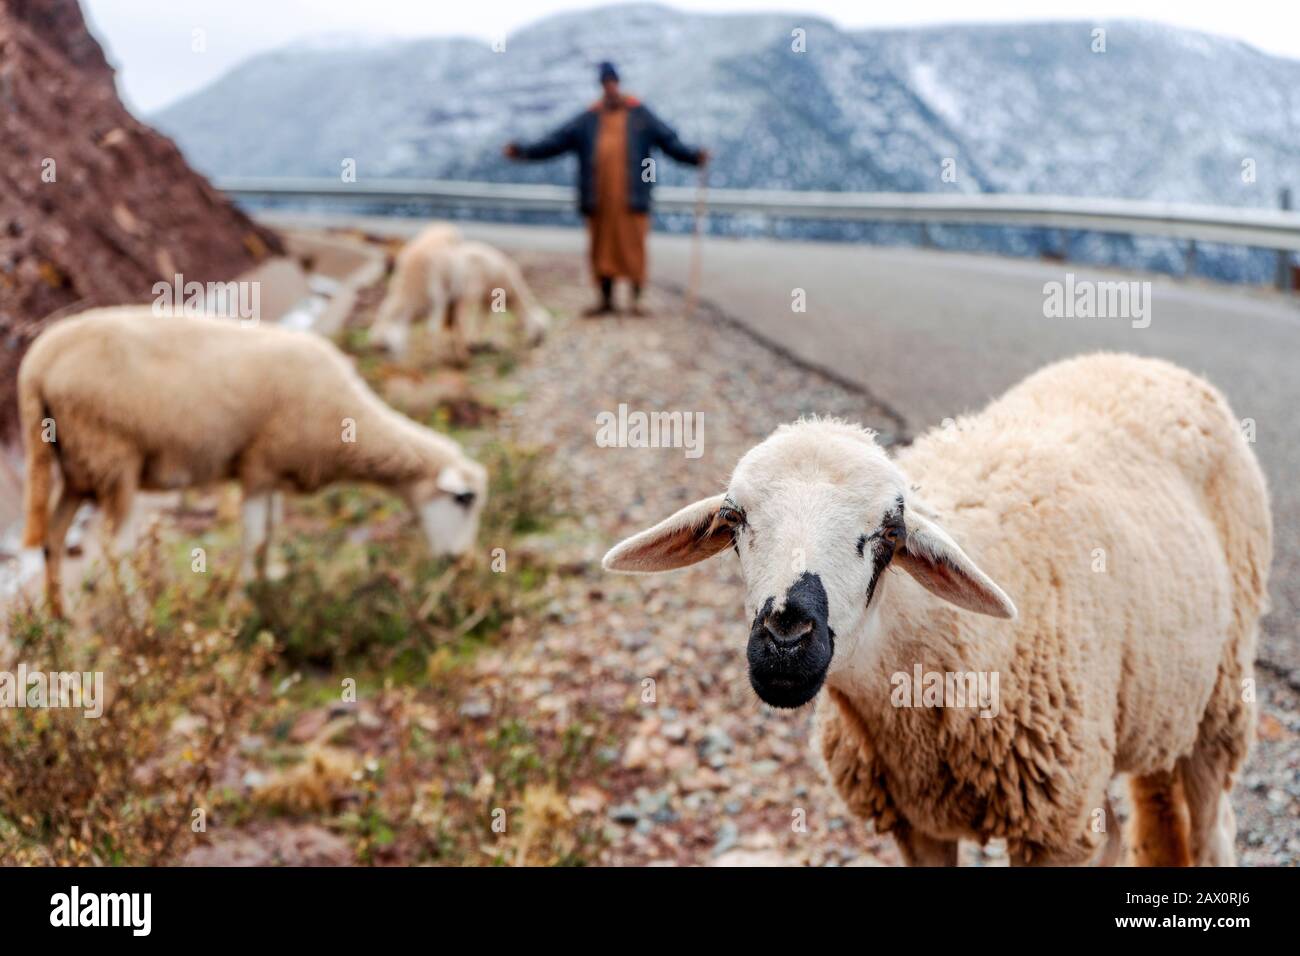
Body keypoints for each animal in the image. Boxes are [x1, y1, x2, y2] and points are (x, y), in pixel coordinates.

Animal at [19, 306, 487, 617]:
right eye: (463, 499)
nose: (460, 563)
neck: (349, 421)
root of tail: (38, 363)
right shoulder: (258, 466)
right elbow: (253, 536)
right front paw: (246, 599)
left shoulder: (275, 471)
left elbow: (271, 531)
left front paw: (269, 580)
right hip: (114, 457)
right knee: (117, 550)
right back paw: (139, 617)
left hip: (77, 465)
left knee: (54, 537)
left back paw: (59, 614)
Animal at [370, 227, 549, 361]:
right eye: (541, 330)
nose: (537, 345)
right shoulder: (493, 295)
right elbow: (494, 320)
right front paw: (495, 343)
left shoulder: (485, 299)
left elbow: (482, 319)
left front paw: (479, 340)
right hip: (467, 292)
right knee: (459, 319)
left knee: (456, 320)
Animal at [603, 353, 1271, 867]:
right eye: (735, 519)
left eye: (889, 531)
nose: (785, 638)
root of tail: (1148, 363)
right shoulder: (918, 822)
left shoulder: (1049, 825)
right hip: (1152, 703)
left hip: (1218, 699)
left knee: (1213, 828)